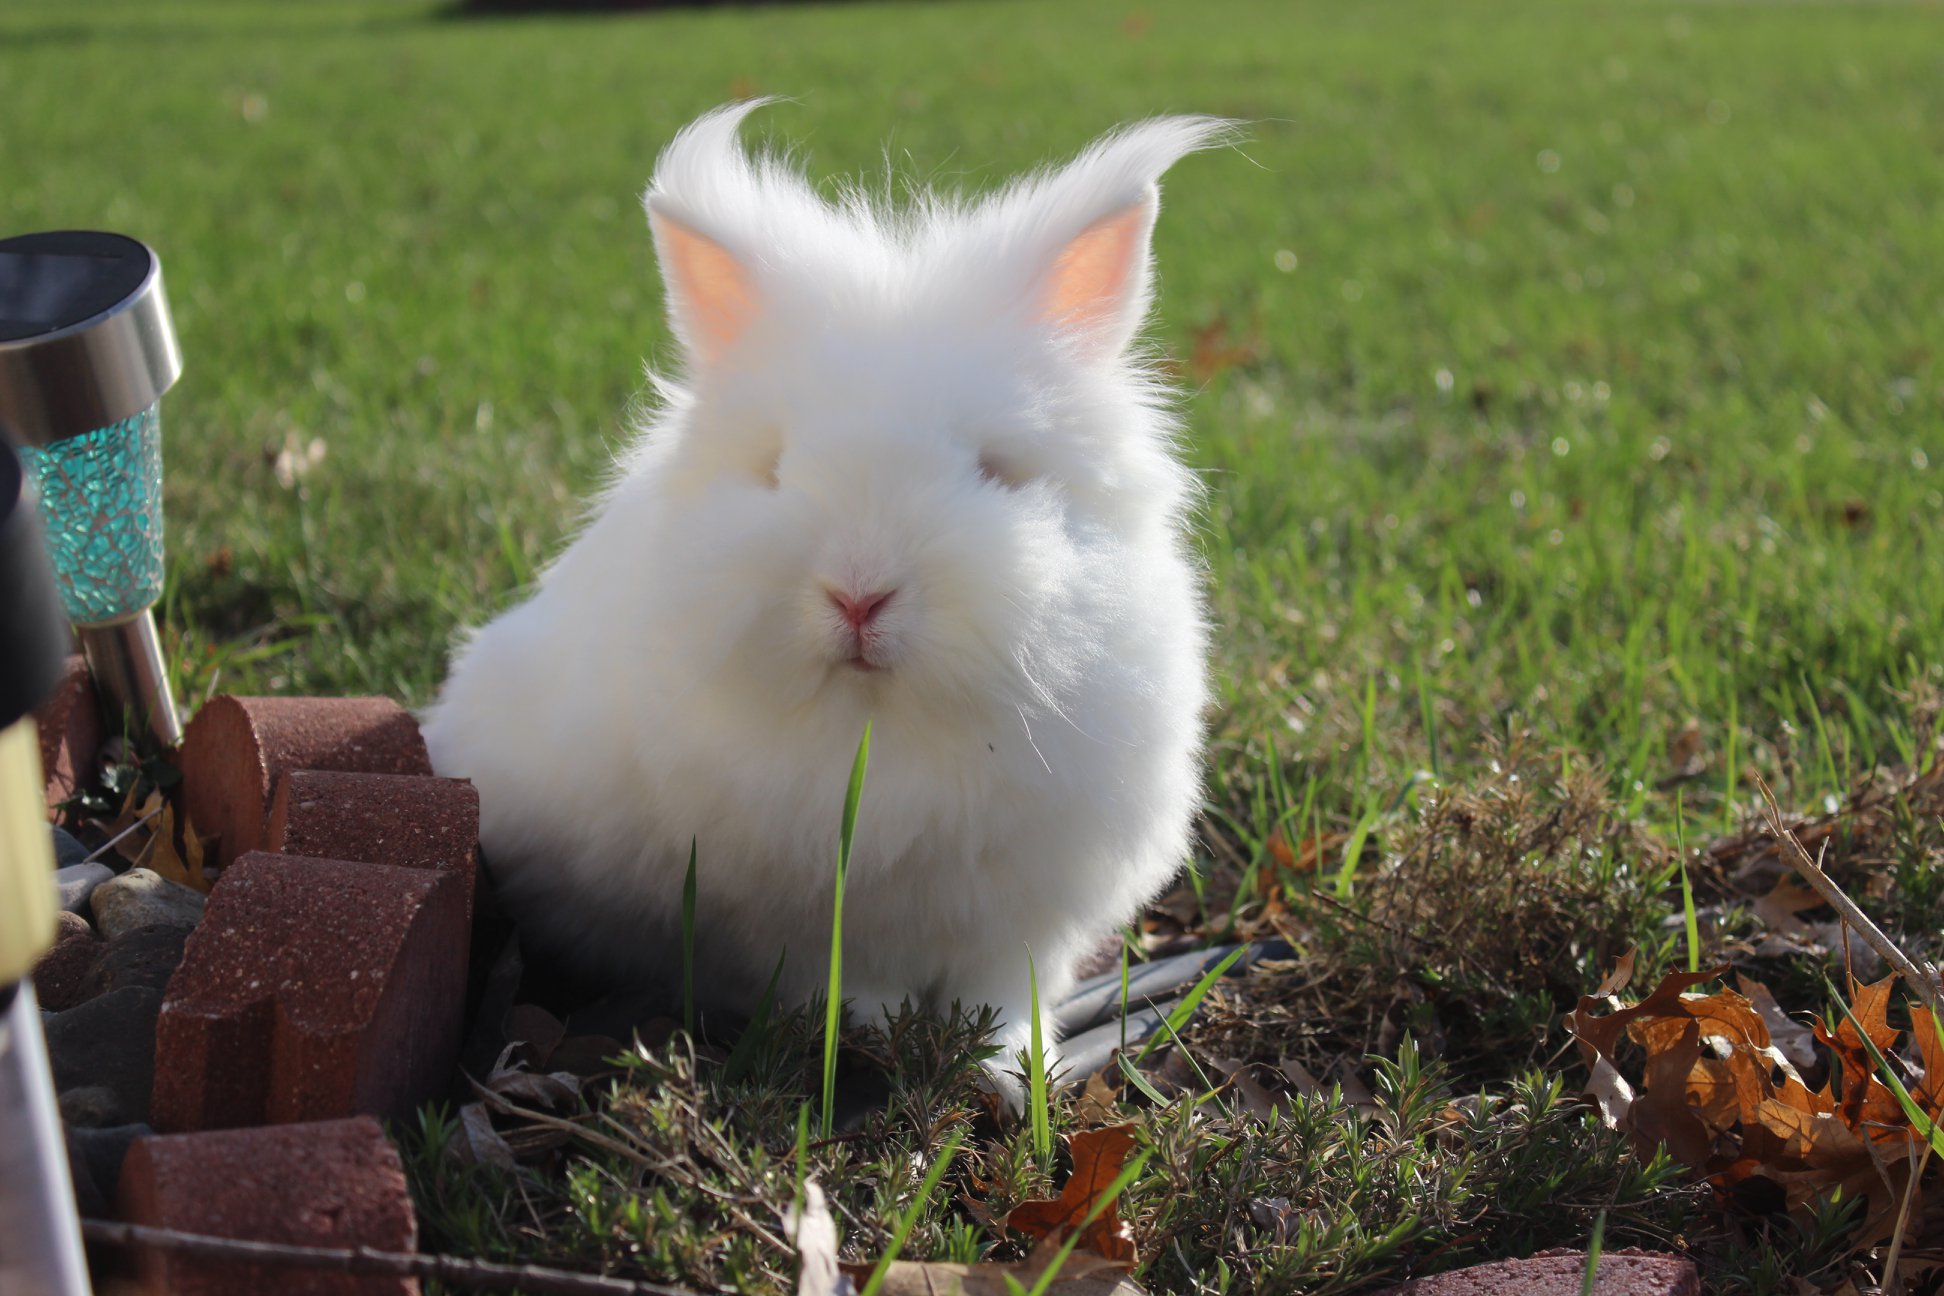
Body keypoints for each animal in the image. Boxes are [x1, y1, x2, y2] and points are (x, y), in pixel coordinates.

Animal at [422, 101, 1228, 1098]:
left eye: (996, 471)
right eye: (775, 467)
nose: (859, 596)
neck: (885, 721)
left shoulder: (1019, 925)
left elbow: (1002, 1003)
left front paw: (1006, 1076)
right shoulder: (795, 923)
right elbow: (848, 989)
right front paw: (878, 1043)